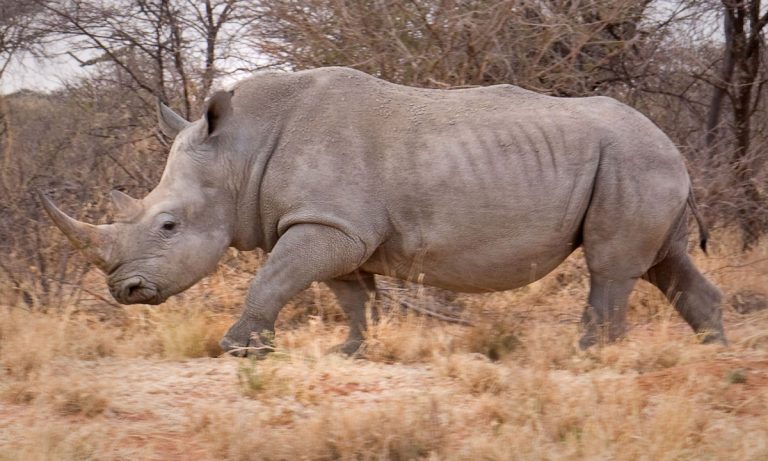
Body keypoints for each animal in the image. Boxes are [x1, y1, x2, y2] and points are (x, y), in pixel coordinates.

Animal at [42, 66, 728, 352]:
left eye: (168, 225)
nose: (126, 291)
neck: (238, 152)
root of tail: (678, 150)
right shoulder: (336, 227)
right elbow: (352, 295)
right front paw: (351, 351)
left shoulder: (328, 222)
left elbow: (273, 278)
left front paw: (236, 349)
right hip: (646, 165)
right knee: (665, 263)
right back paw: (713, 352)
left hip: (633, 161)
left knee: (612, 269)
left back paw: (587, 355)